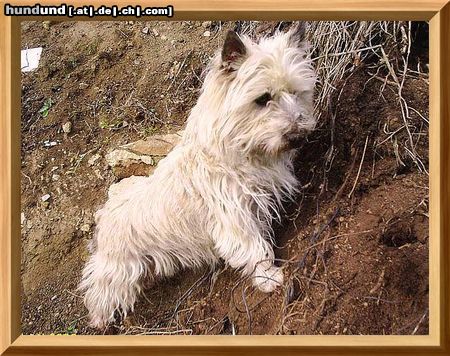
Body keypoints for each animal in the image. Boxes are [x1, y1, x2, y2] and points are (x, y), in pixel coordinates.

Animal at [79, 23, 316, 328]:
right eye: (262, 99)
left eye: (296, 92)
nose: (298, 136)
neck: (235, 152)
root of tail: (102, 217)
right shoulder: (234, 221)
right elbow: (253, 249)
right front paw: (269, 278)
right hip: (118, 269)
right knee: (100, 291)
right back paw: (100, 321)